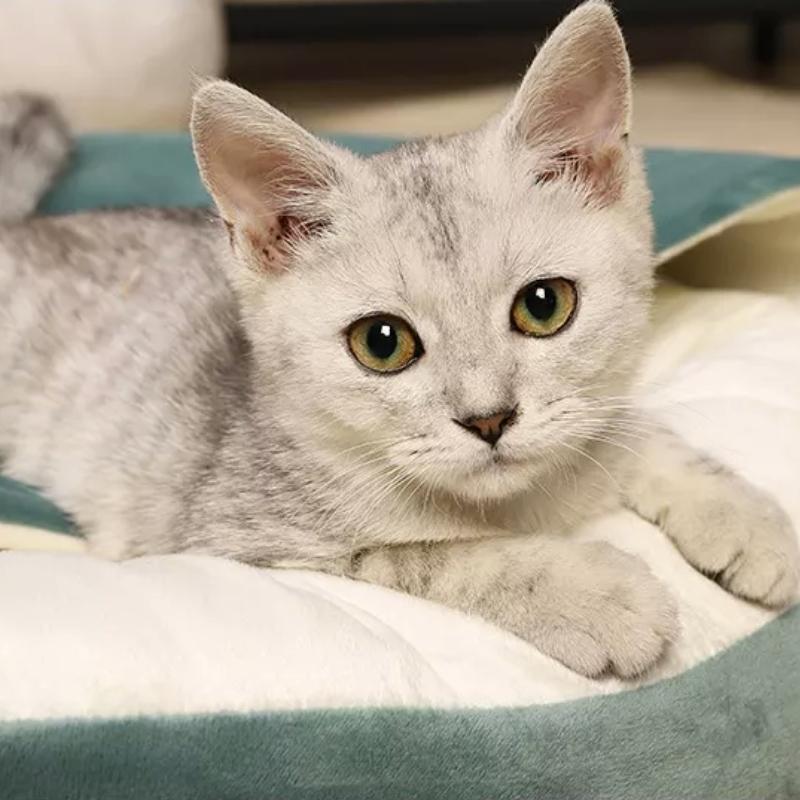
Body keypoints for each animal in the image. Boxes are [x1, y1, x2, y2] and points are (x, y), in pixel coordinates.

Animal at [0, 0, 796, 680]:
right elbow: (440, 556)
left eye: (545, 306)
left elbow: (637, 434)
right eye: (381, 344)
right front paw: (595, 592)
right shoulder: (227, 540)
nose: (489, 419)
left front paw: (752, 523)